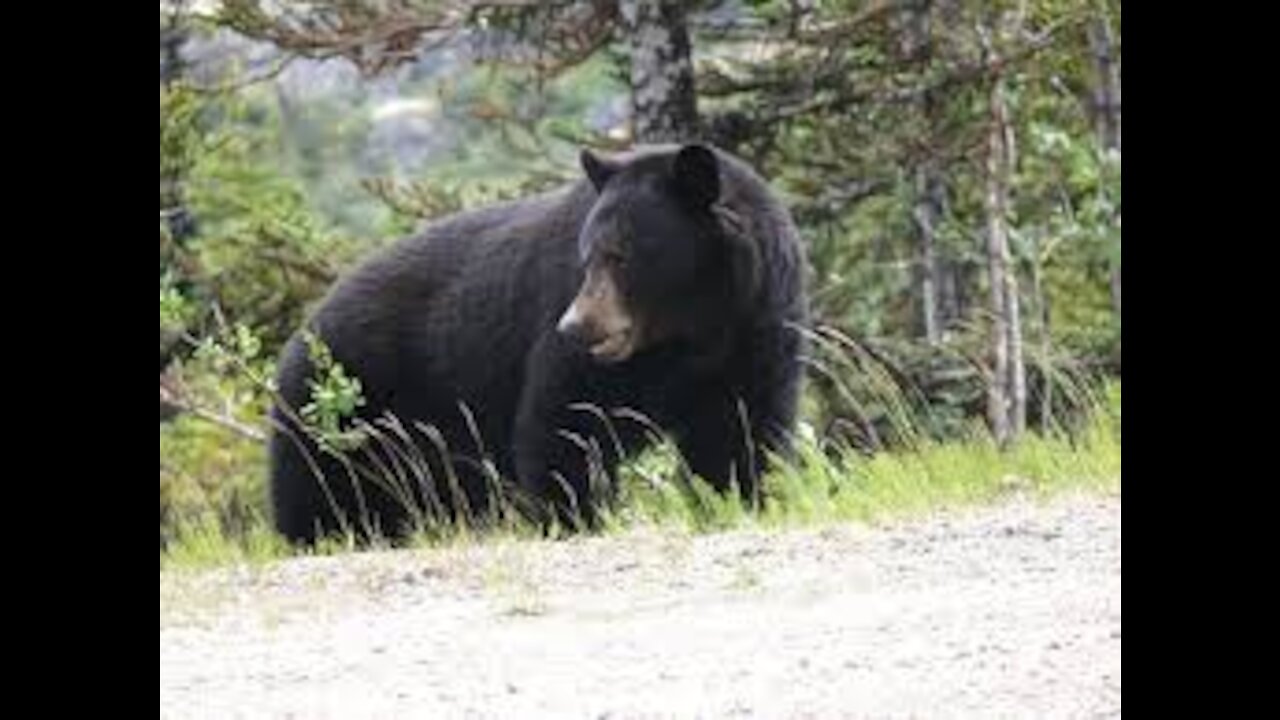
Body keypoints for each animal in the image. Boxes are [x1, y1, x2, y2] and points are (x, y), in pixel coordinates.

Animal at [270, 142, 808, 540]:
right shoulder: (582, 347)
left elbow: (738, 428)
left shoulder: (757, 331)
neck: (690, 332)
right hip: (341, 408)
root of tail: (305, 328)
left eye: (622, 256)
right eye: (587, 255)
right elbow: (567, 421)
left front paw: (738, 498)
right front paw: (576, 515)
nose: (576, 326)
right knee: (319, 487)